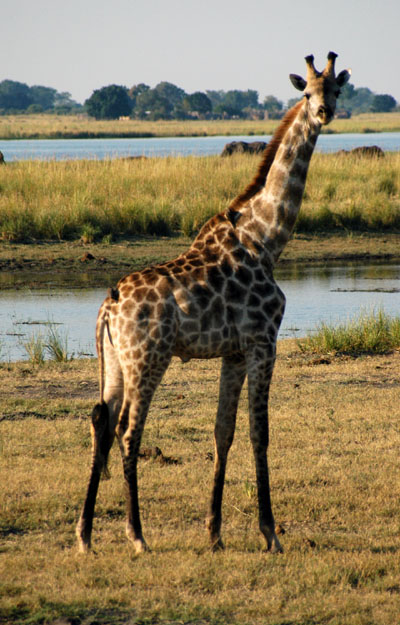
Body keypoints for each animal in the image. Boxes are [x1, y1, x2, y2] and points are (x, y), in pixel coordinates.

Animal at [76, 51, 350, 552]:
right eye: (306, 92)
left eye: (336, 89)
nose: (325, 112)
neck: (267, 239)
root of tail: (108, 306)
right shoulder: (264, 342)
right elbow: (260, 432)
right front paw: (270, 533)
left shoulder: (234, 353)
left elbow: (224, 431)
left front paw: (215, 532)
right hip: (149, 358)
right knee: (128, 430)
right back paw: (137, 536)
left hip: (114, 362)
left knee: (100, 423)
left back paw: (85, 536)